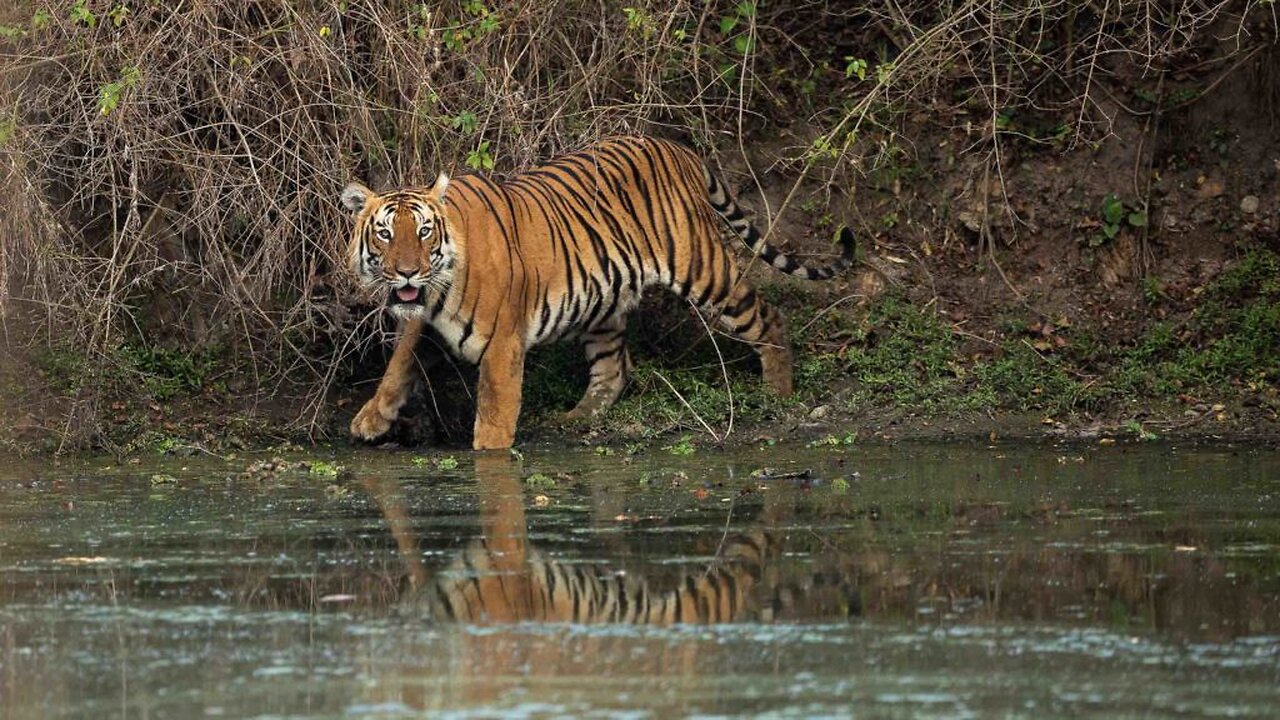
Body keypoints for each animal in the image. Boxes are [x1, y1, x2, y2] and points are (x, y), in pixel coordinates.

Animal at [345, 134, 855, 445]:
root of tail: (679, 149)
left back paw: (778, 392)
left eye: (424, 231)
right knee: (615, 367)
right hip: (601, 300)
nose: (407, 272)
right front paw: (371, 420)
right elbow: (398, 365)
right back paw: (578, 416)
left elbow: (494, 411)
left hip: (706, 271)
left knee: (768, 317)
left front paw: (489, 460)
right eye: (385, 233)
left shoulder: (503, 343)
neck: (438, 288)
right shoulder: (424, 321)